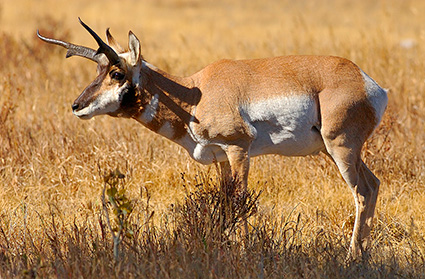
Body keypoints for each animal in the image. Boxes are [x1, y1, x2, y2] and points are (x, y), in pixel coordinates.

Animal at [38, 19, 386, 260]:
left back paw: (350, 257)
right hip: (337, 151)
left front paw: (243, 253)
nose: (77, 106)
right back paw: (364, 255)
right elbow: (224, 202)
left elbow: (240, 202)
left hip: (340, 149)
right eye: (98, 71)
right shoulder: (220, 159)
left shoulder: (238, 150)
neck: (194, 94)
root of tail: (368, 82)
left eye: (117, 73)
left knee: (362, 192)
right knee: (374, 184)